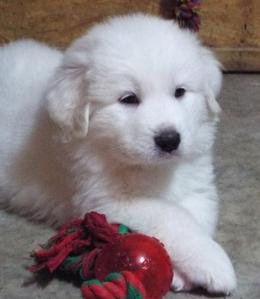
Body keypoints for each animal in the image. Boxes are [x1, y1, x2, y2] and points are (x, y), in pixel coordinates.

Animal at [0, 14, 236, 296]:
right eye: (128, 99)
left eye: (180, 92)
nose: (169, 140)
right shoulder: (105, 199)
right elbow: (173, 216)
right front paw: (214, 264)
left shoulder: (196, 184)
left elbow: (196, 215)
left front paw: (182, 270)